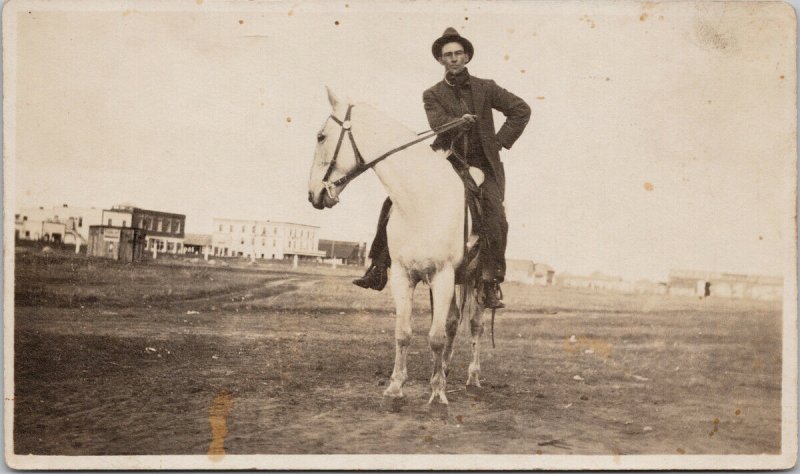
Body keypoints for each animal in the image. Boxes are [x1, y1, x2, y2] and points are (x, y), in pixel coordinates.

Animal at [308, 86, 488, 404]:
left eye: (321, 136)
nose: (312, 194)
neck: (419, 199)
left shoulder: (442, 276)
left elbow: (435, 337)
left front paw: (437, 393)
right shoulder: (404, 276)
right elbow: (403, 332)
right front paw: (396, 386)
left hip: (475, 279)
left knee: (475, 324)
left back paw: (472, 376)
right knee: (453, 321)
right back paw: (445, 369)